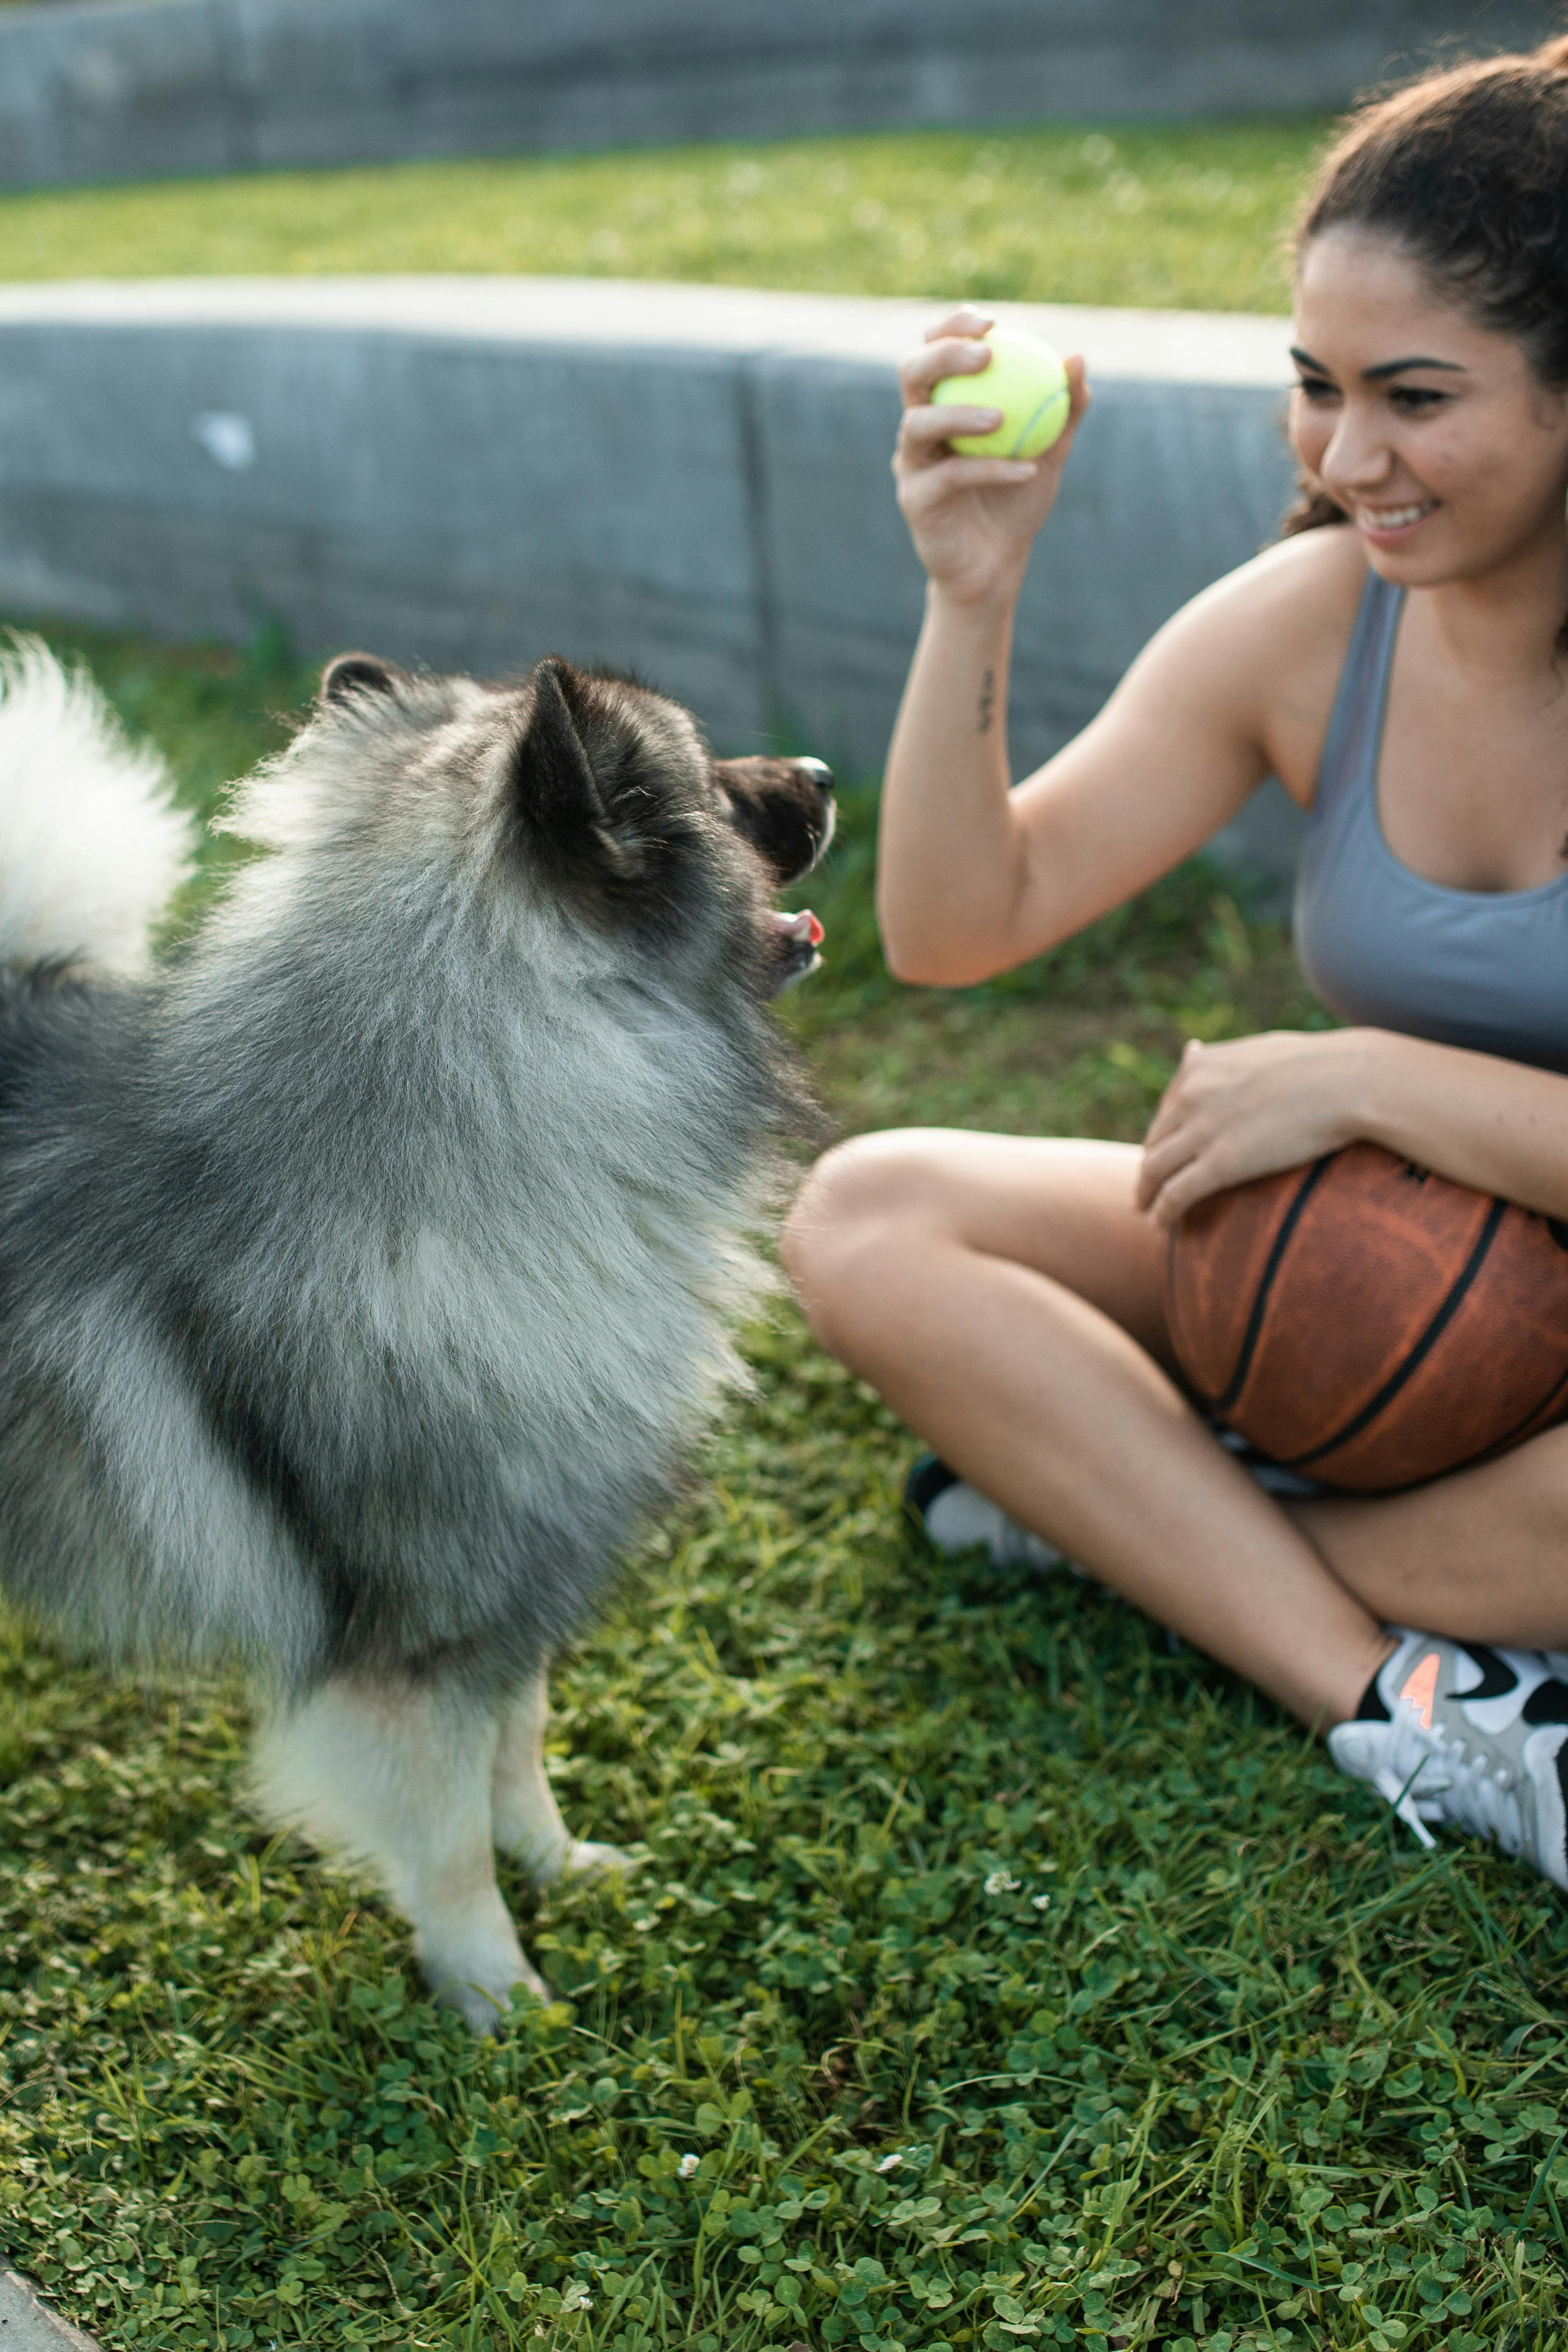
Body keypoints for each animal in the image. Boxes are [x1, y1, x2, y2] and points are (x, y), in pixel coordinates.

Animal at [0, 635, 832, 2032]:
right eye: (719, 783)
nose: (824, 771)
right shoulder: (416, 1639)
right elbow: (441, 1835)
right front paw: (501, 1999)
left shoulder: (513, 1588)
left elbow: (517, 1752)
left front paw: (559, 1866)